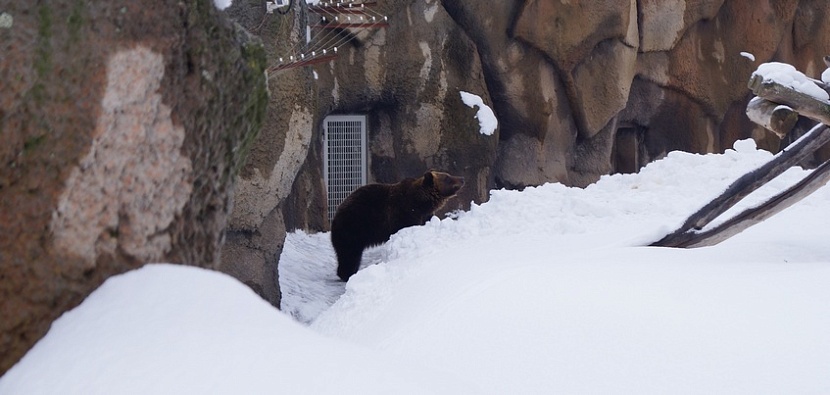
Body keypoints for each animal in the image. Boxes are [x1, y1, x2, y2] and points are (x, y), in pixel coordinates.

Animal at [332, 170, 464, 282]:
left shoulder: (424, 215)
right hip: (354, 227)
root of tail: (337, 211)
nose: (462, 179)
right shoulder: (404, 212)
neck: (421, 202)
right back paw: (347, 274)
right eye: (447, 177)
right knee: (349, 253)